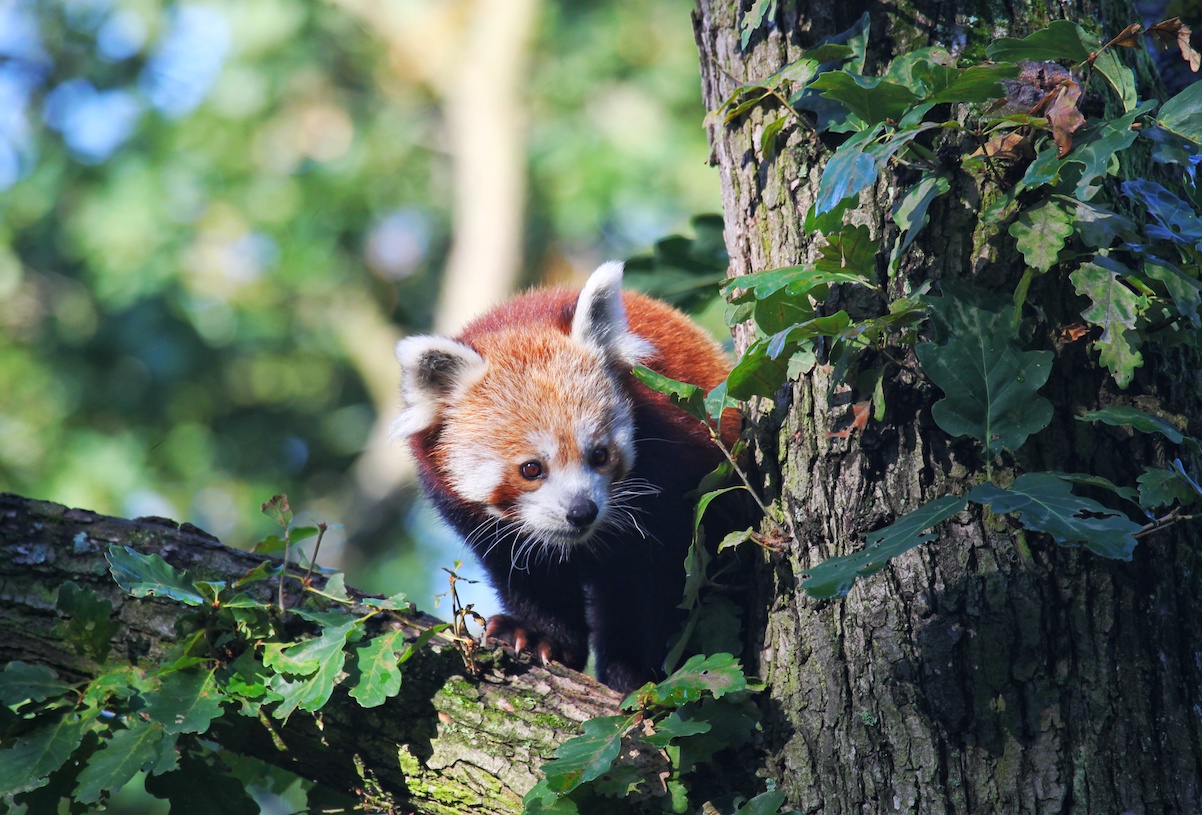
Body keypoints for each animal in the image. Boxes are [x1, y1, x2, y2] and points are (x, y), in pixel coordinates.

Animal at [394, 264, 730, 692]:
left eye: (599, 455)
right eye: (531, 469)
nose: (582, 511)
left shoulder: (672, 479)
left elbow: (660, 582)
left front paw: (637, 670)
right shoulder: (473, 515)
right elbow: (527, 575)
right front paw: (540, 635)